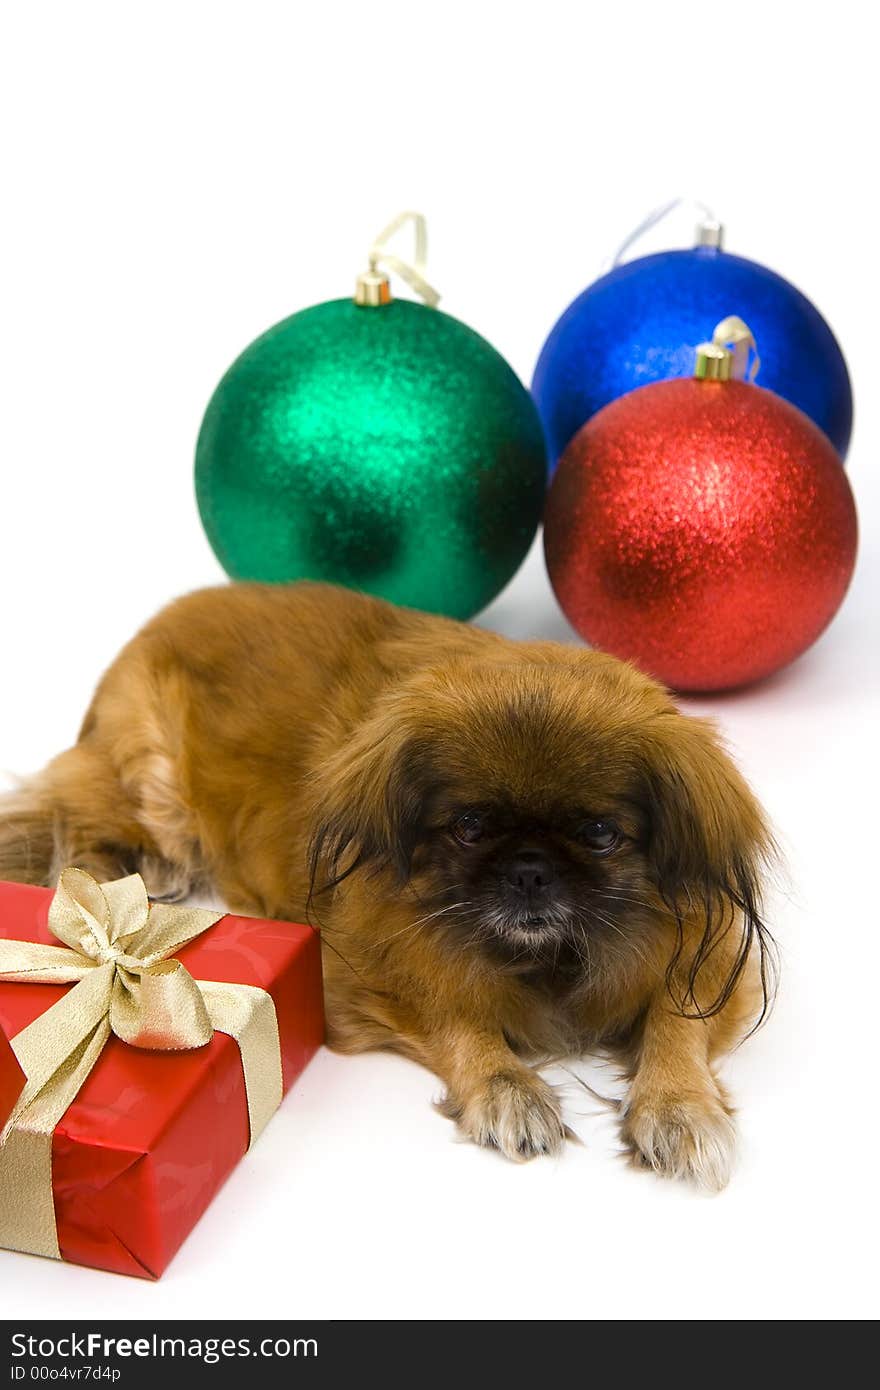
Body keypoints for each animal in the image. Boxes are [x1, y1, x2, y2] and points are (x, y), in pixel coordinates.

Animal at [0, 581, 767, 1189]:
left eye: (601, 834)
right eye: (470, 827)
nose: (529, 869)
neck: (547, 956)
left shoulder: (710, 960)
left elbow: (675, 1021)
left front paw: (680, 1107)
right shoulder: (365, 968)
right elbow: (458, 1012)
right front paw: (506, 1087)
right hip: (152, 777)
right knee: (84, 815)